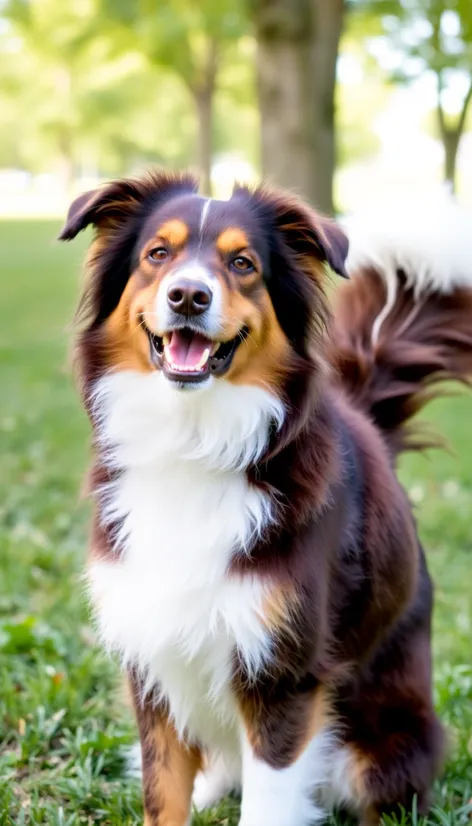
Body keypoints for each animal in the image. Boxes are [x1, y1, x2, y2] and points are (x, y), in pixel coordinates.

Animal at [59, 171, 472, 820]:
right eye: (158, 254)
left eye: (243, 263)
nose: (188, 296)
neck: (194, 439)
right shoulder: (152, 657)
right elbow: (162, 791)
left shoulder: (284, 674)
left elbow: (269, 801)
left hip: (382, 746)